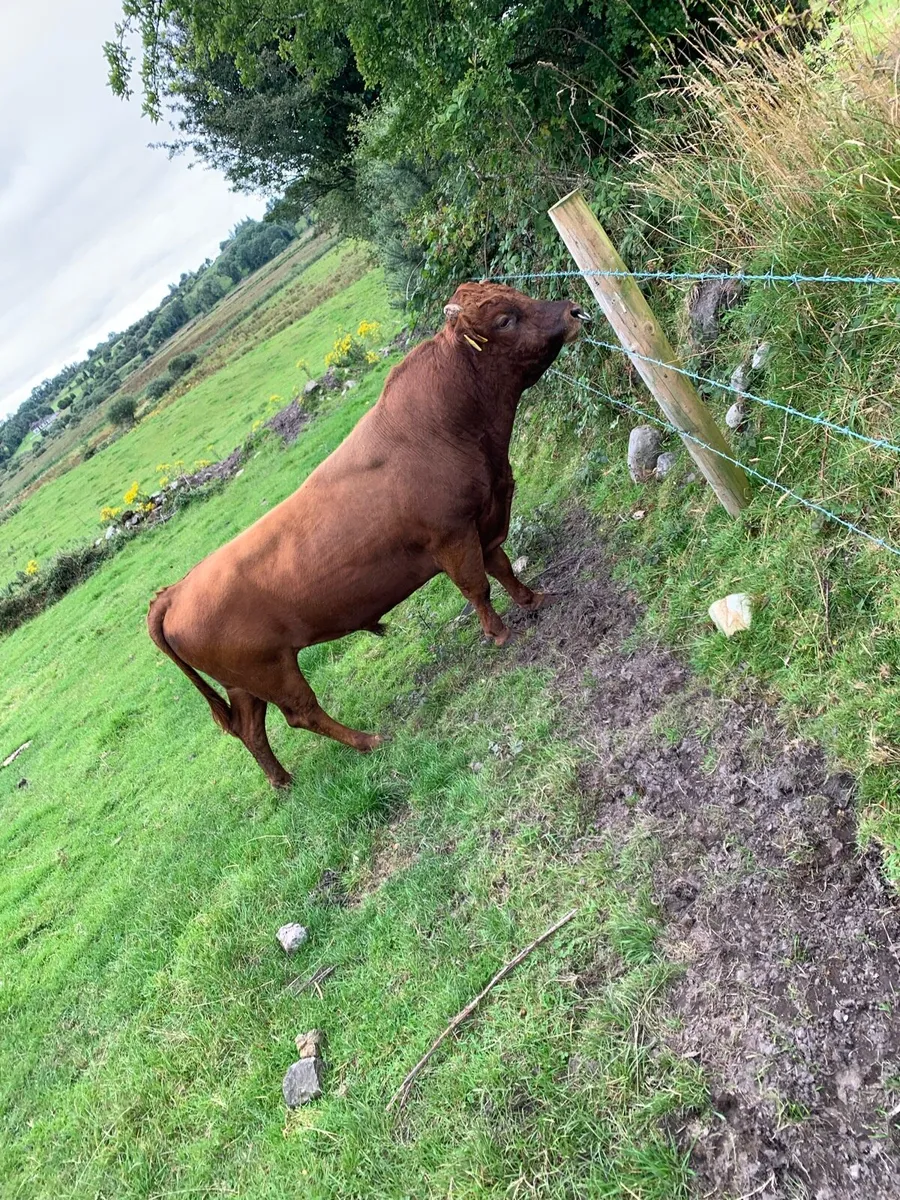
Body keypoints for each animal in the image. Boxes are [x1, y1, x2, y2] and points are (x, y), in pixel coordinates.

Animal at [147, 282, 590, 787]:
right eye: (504, 319)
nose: (575, 311)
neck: (450, 423)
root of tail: (175, 591)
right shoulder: (452, 536)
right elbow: (477, 586)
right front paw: (499, 634)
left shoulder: (485, 518)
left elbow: (501, 565)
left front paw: (535, 599)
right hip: (272, 671)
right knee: (300, 712)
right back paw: (369, 741)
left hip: (246, 683)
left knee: (250, 728)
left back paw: (284, 781)